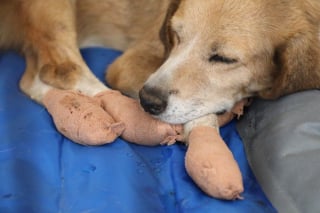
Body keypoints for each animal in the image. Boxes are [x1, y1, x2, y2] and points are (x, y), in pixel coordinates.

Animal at [0, 0, 320, 125]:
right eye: (175, 34)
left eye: (224, 58)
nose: (148, 101)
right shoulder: (129, 66)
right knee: (62, 72)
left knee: (34, 77)